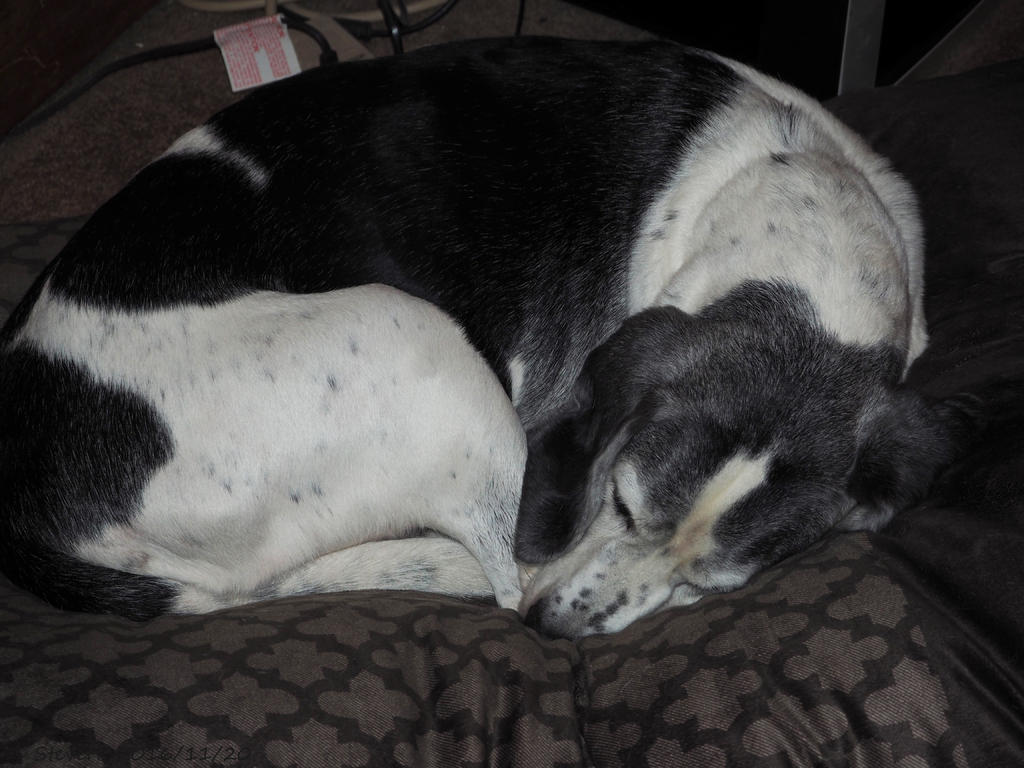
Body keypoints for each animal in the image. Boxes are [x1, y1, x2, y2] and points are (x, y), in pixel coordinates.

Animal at [0, 38, 971, 638]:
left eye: (713, 581)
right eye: (622, 506)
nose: (557, 632)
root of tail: (28, 498)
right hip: (412, 337)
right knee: (501, 571)